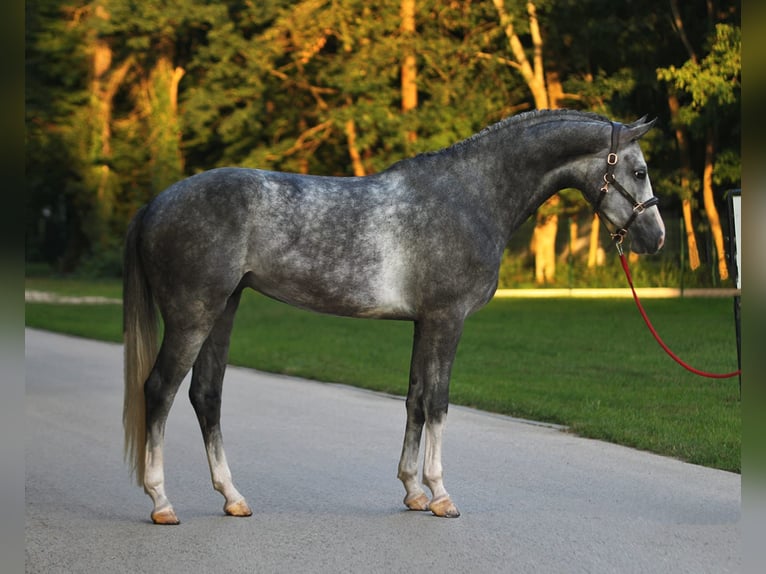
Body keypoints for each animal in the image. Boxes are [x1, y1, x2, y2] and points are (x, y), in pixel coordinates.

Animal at [123, 109, 664, 528]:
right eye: (638, 171)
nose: (656, 237)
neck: (471, 196)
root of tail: (155, 203)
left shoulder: (424, 323)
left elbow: (416, 400)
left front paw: (413, 491)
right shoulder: (448, 319)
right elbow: (440, 403)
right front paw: (441, 496)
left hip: (225, 308)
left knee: (205, 395)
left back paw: (233, 498)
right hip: (194, 315)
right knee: (160, 390)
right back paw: (161, 502)